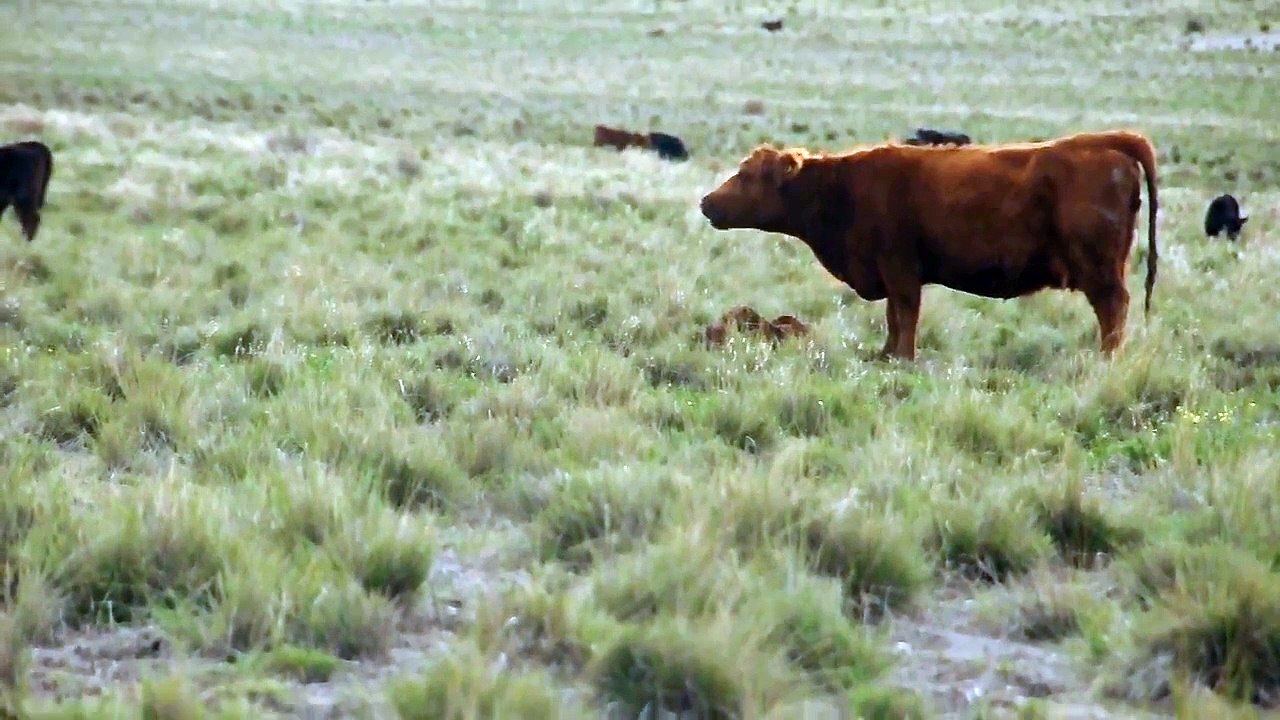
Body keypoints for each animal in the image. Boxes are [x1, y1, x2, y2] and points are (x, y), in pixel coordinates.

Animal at [698, 130, 1159, 361]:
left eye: (747, 175)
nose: (706, 202)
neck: (842, 189)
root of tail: (1102, 142)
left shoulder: (900, 268)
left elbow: (905, 315)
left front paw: (903, 357)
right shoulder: (890, 272)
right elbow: (893, 317)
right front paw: (884, 354)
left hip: (1099, 269)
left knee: (1113, 308)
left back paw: (1105, 359)